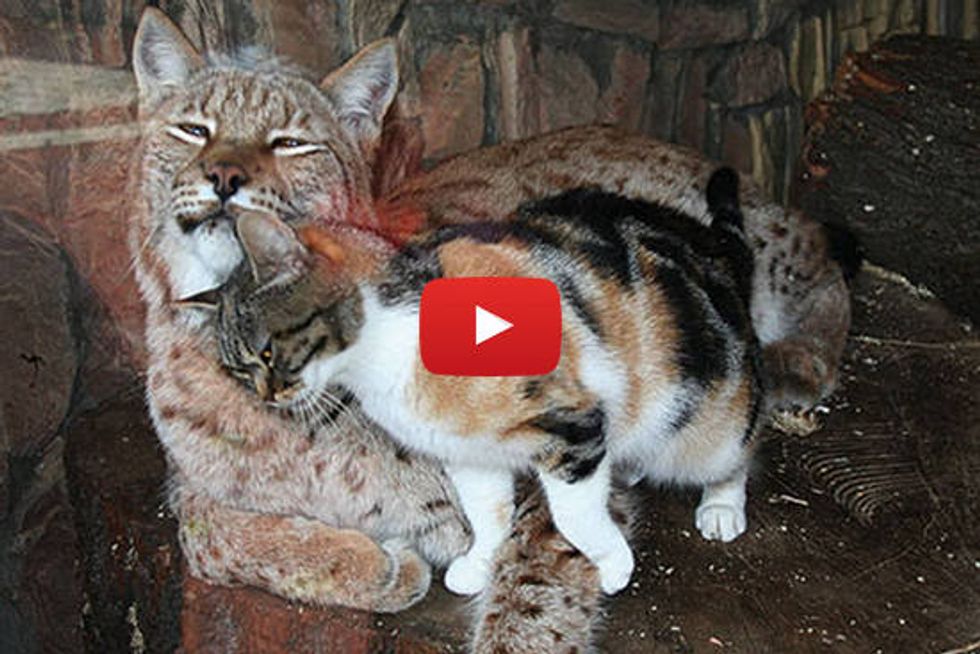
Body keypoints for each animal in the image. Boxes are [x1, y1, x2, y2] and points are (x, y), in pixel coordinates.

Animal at [205, 170, 756, 600]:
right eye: (240, 370)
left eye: (268, 352)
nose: (265, 397)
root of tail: (713, 249)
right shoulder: (467, 450)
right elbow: (487, 511)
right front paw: (480, 562)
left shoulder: (571, 427)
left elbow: (574, 514)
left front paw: (613, 565)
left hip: (707, 423)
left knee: (734, 452)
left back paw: (720, 507)